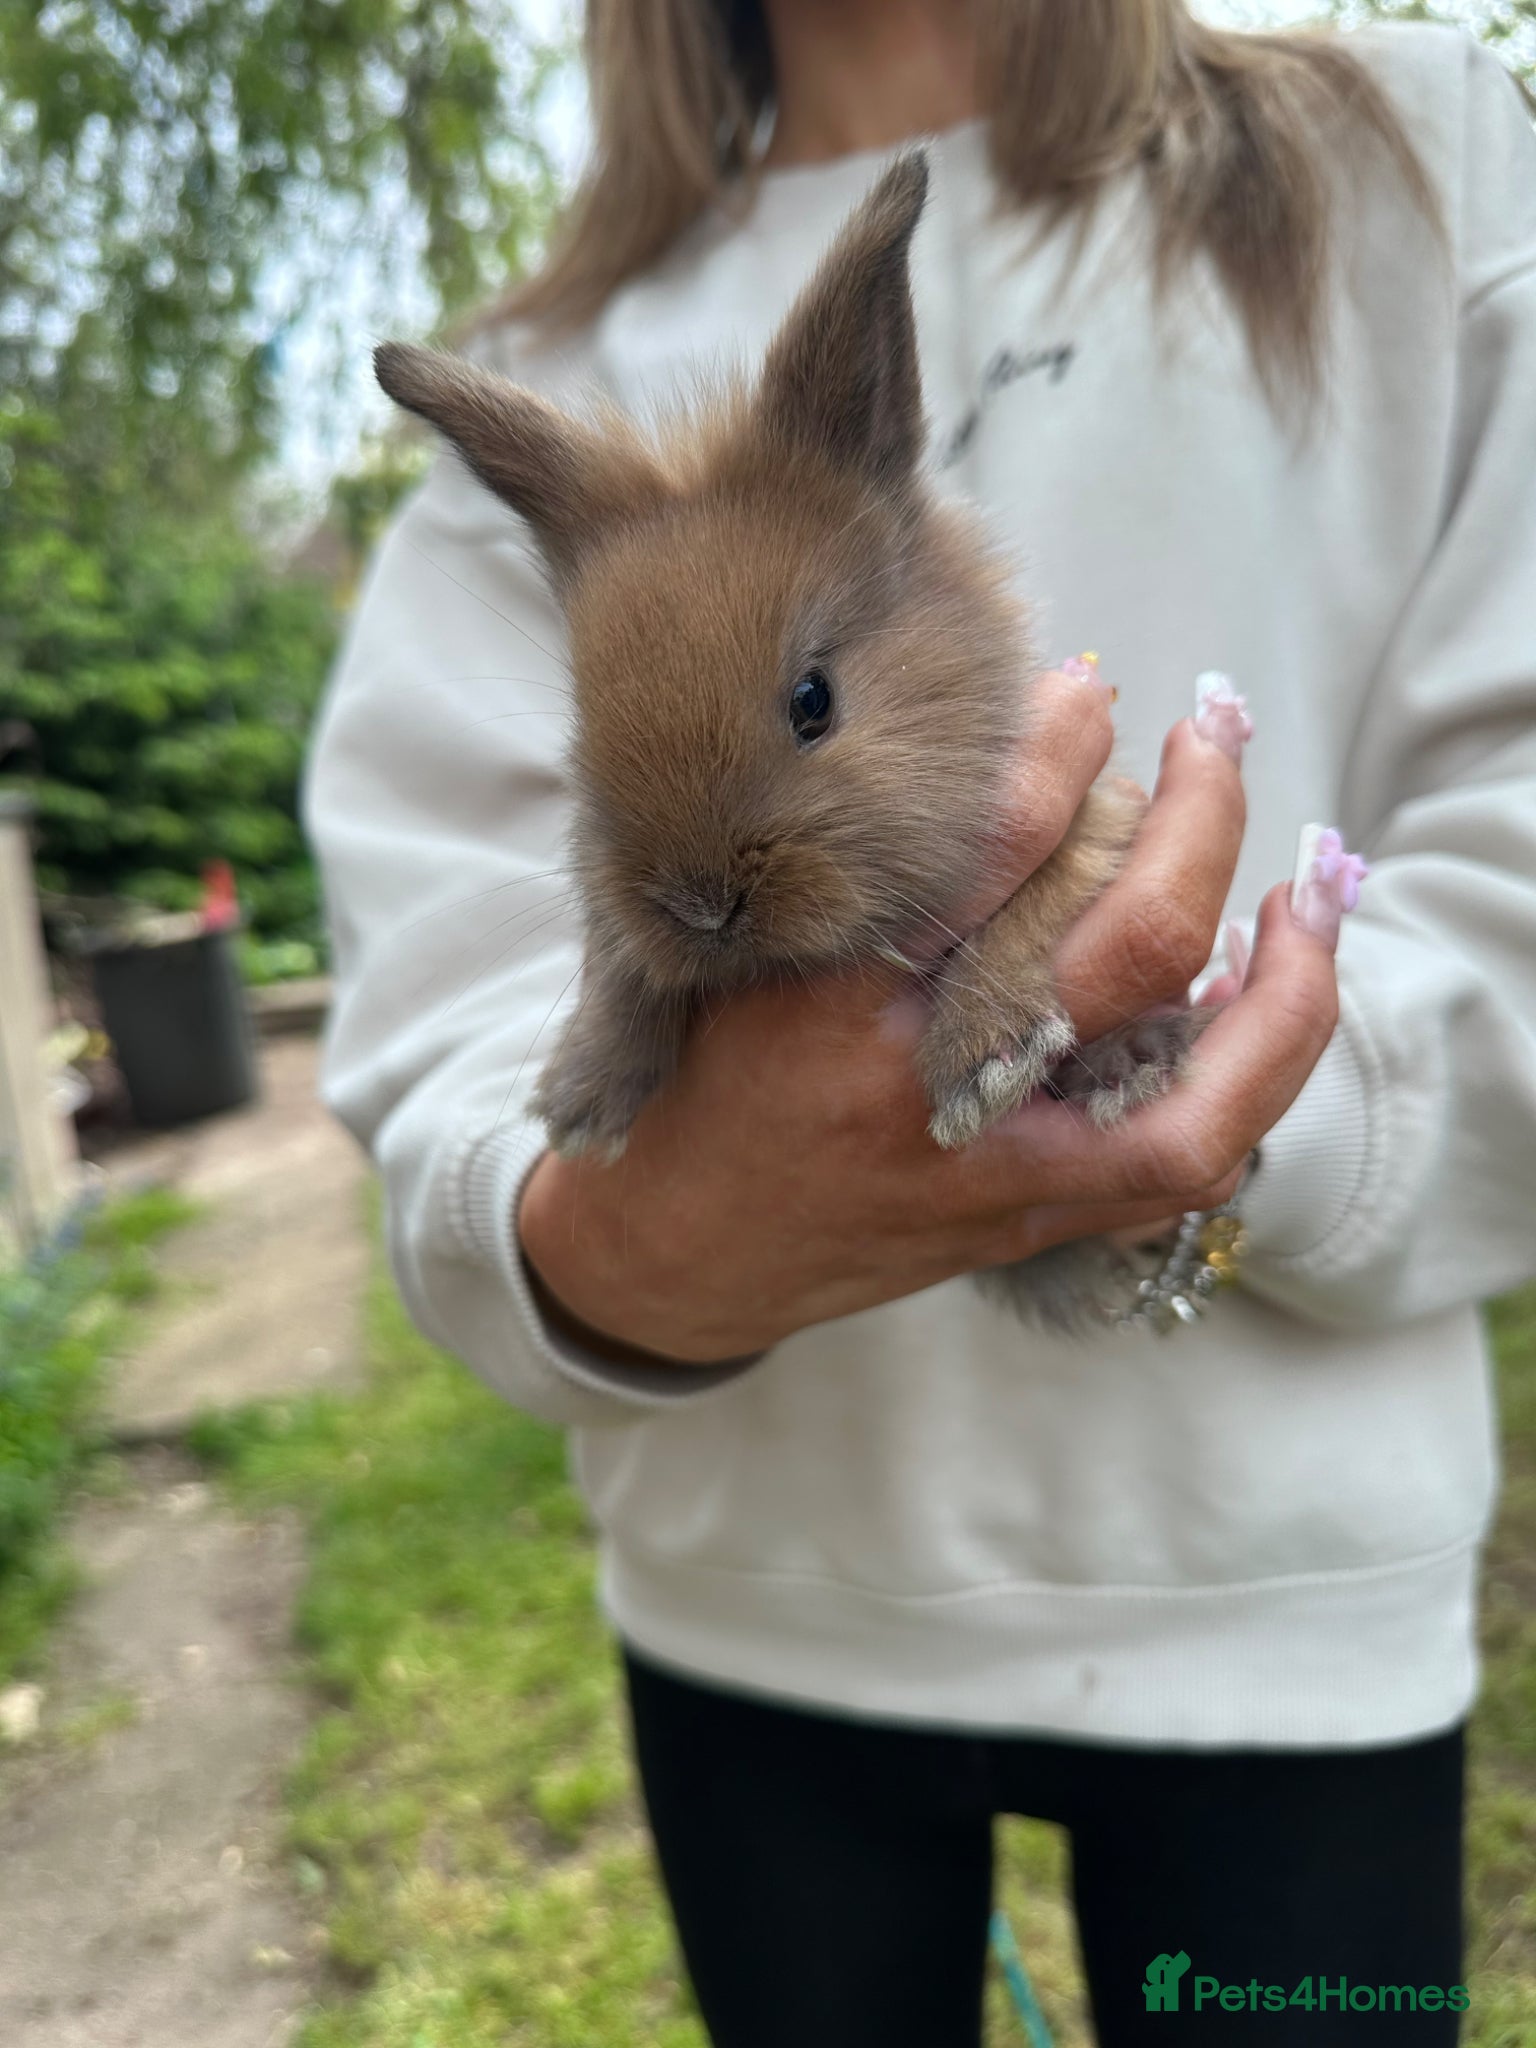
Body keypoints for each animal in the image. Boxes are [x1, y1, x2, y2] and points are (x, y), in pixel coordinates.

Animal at [375, 153, 1210, 1330]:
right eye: (585, 726)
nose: (700, 907)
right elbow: (619, 964)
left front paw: (983, 1063)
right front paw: (585, 1096)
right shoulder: (612, 910)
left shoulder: (1098, 816)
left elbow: (1040, 907)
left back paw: (1136, 1061)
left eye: (813, 700)